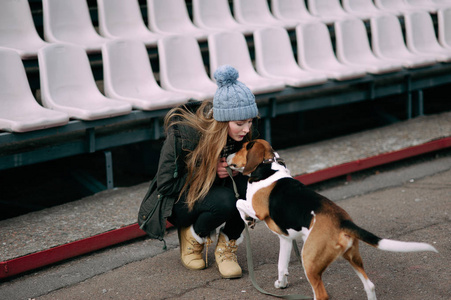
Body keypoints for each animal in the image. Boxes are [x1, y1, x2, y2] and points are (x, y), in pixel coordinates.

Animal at [228, 140, 440, 300]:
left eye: (241, 147)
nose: (227, 156)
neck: (267, 165)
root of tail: (342, 221)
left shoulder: (259, 210)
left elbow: (238, 202)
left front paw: (247, 221)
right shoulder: (286, 239)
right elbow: (282, 266)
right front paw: (281, 284)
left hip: (310, 261)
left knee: (322, 295)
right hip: (352, 257)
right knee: (370, 286)